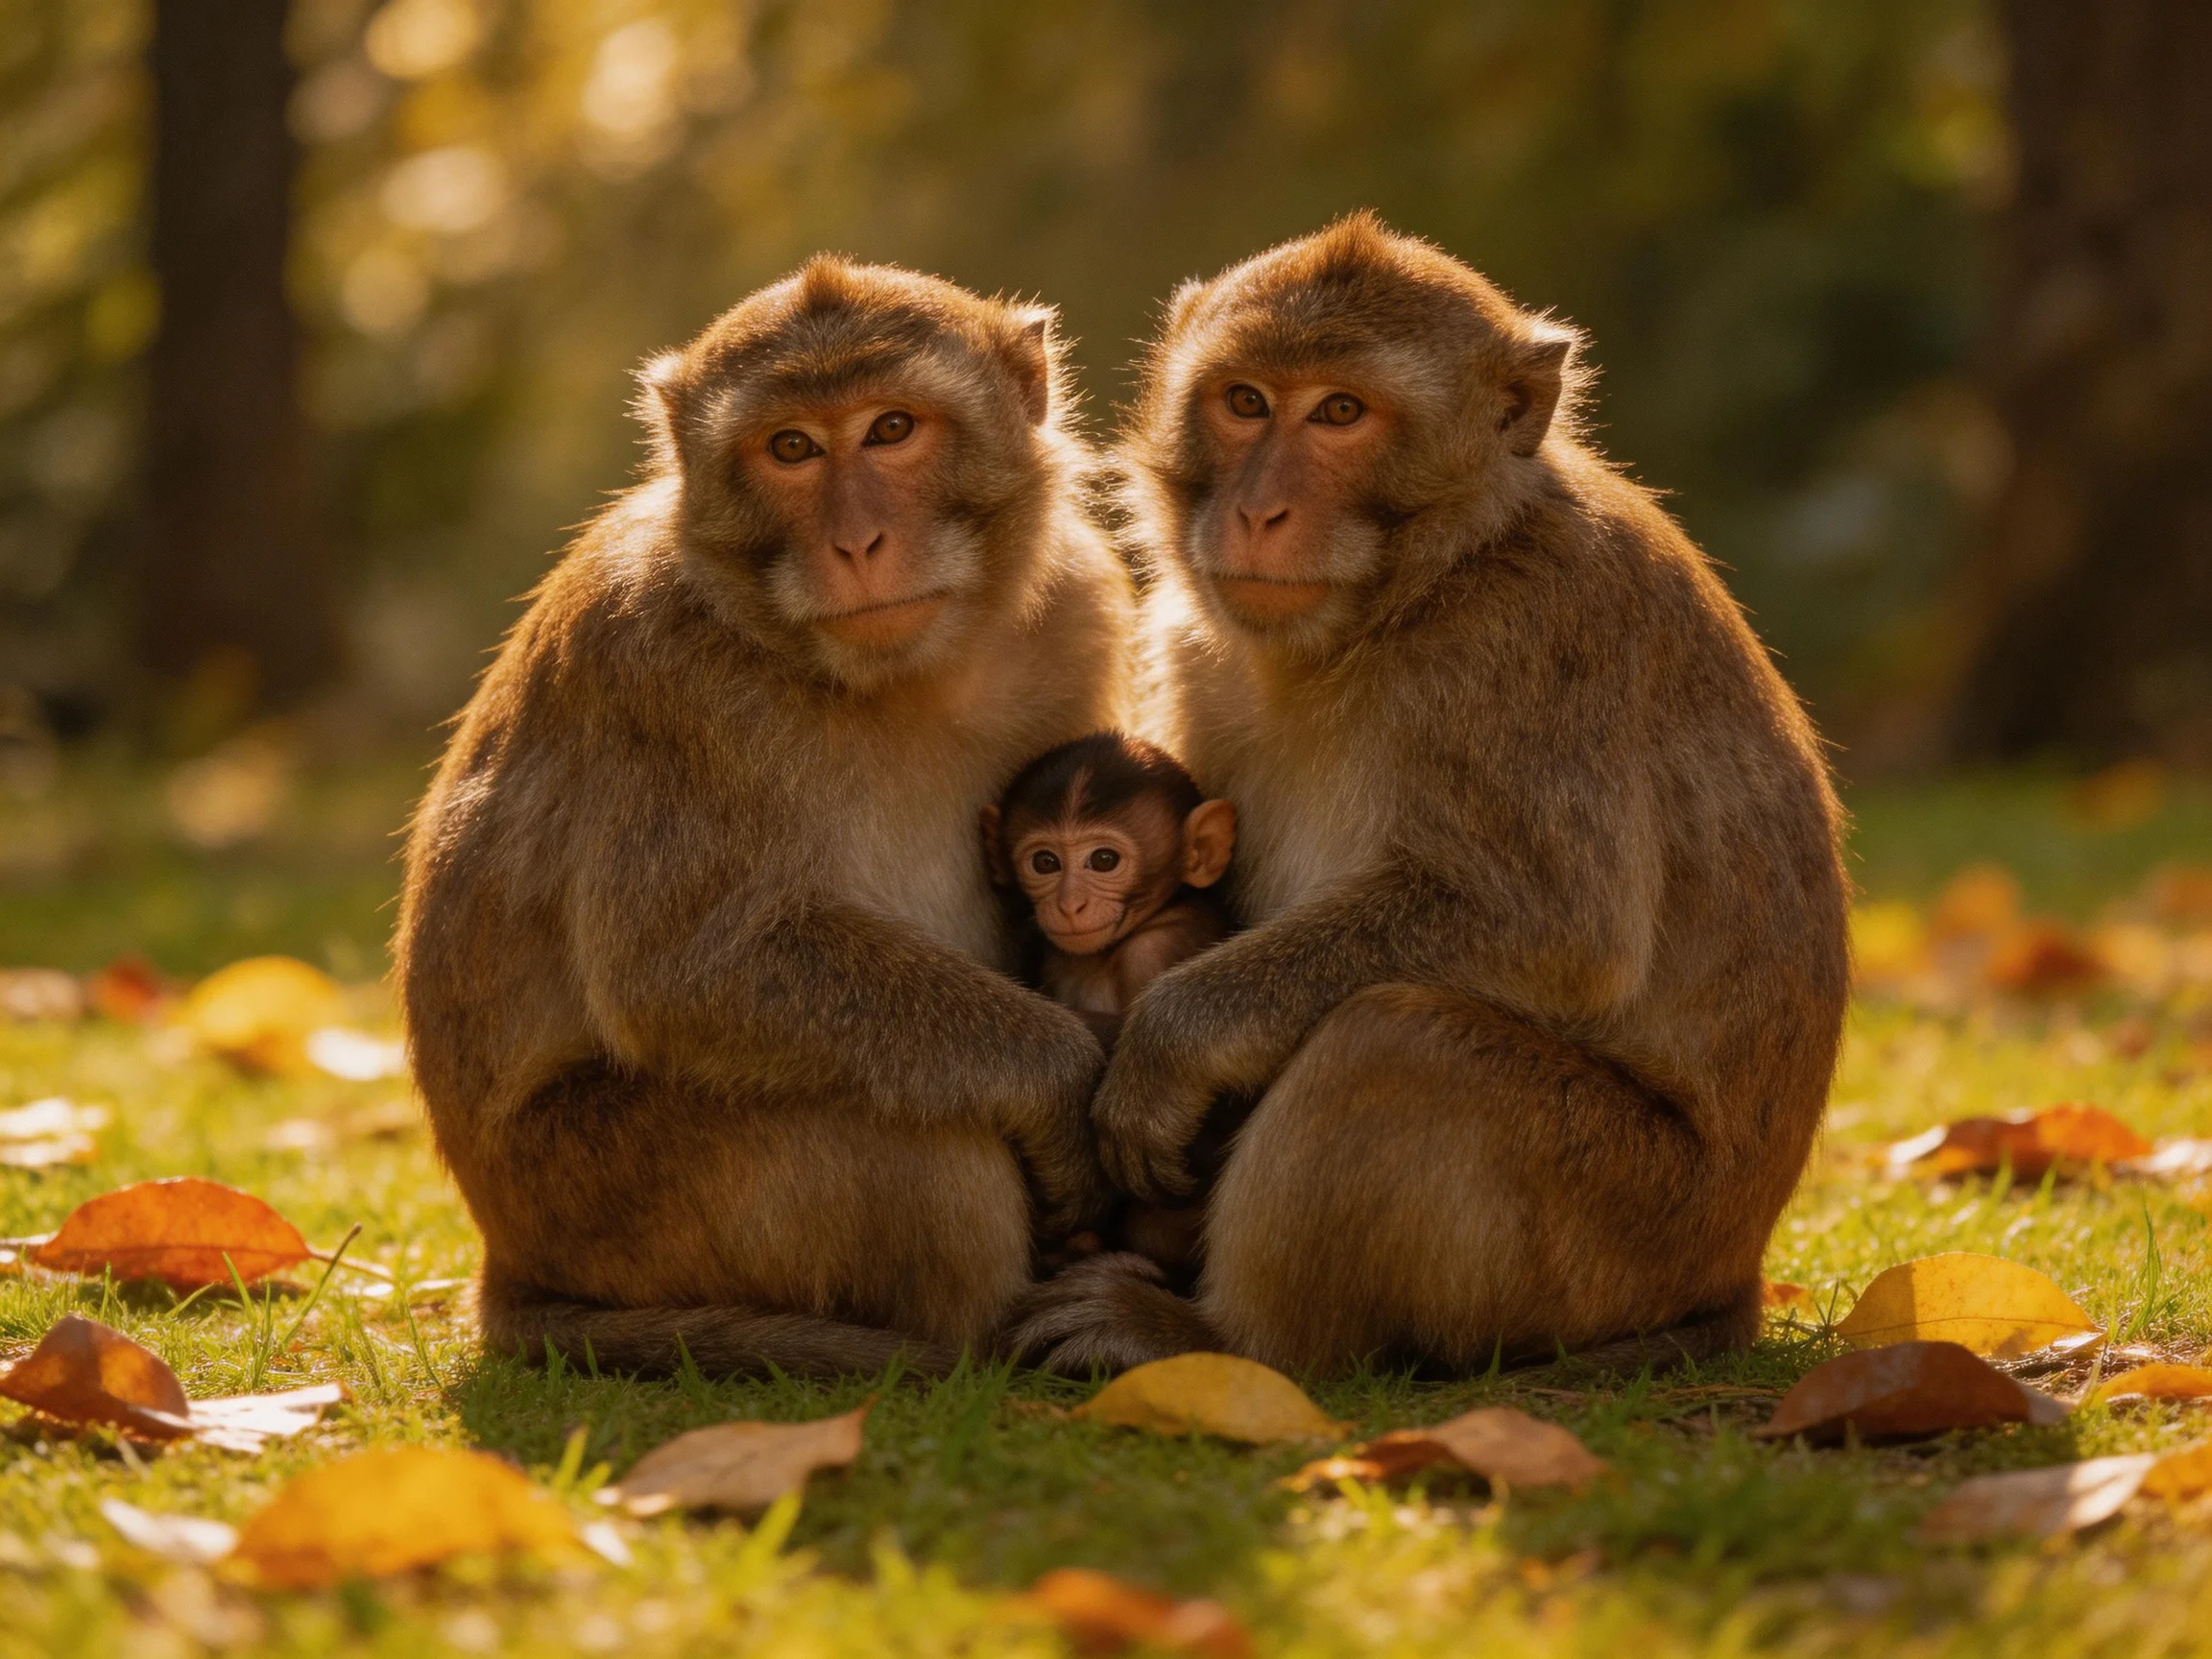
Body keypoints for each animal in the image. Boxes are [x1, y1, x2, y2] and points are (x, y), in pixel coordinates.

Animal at [395, 256, 1137, 1382]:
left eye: (890, 428)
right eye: (791, 448)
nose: (857, 541)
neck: (901, 678)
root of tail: (506, 1253)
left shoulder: (1083, 609)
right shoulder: (663, 669)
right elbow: (687, 969)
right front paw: (1057, 1080)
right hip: (603, 1198)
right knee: (914, 1133)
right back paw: (970, 1338)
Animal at [1009, 214, 1849, 1378]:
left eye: (1341, 412)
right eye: (1246, 401)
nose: (1259, 509)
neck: (1417, 590)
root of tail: (1731, 1276)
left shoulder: (1523, 645)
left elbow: (1554, 925)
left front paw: (1174, 1041)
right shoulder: (1194, 640)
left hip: (1620, 1235)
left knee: (1398, 1043)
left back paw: (1223, 1338)